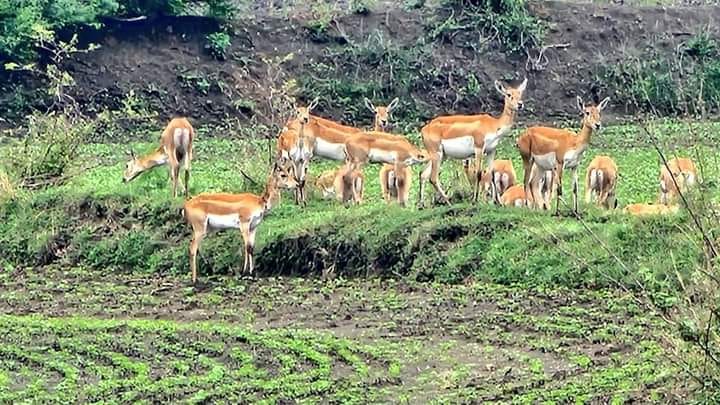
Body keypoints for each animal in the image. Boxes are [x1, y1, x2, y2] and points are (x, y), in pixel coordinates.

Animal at [418, 78, 527, 207]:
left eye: (520, 93)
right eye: (509, 94)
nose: (520, 104)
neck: (494, 125)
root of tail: (424, 129)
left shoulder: (491, 151)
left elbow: (491, 174)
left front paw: (498, 202)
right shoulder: (479, 148)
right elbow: (479, 173)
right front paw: (475, 200)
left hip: (441, 156)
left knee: (423, 174)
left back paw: (422, 205)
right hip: (437, 154)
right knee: (433, 177)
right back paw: (449, 202)